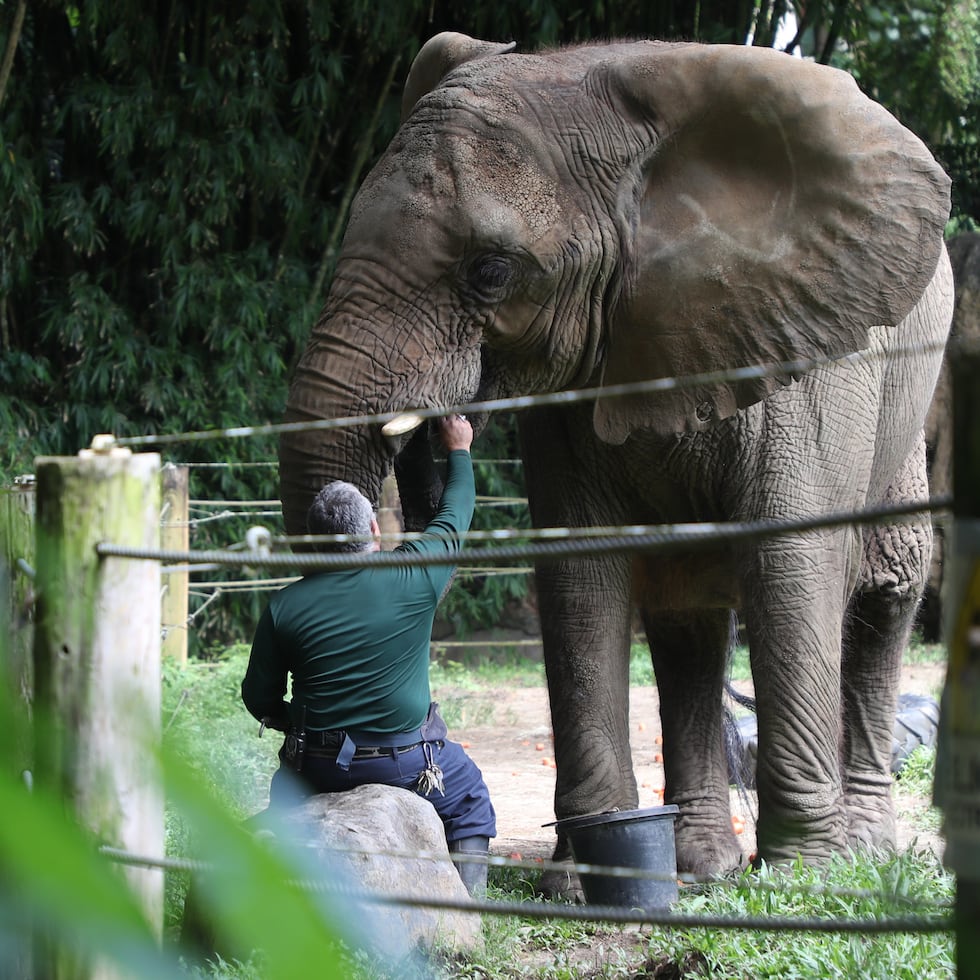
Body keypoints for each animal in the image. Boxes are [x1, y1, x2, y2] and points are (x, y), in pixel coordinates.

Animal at [280, 34, 952, 884]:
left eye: (491, 271)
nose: (431, 429)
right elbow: (579, 572)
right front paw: (589, 878)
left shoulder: (808, 352)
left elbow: (790, 562)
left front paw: (806, 874)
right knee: (687, 611)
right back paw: (700, 864)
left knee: (886, 585)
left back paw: (860, 849)